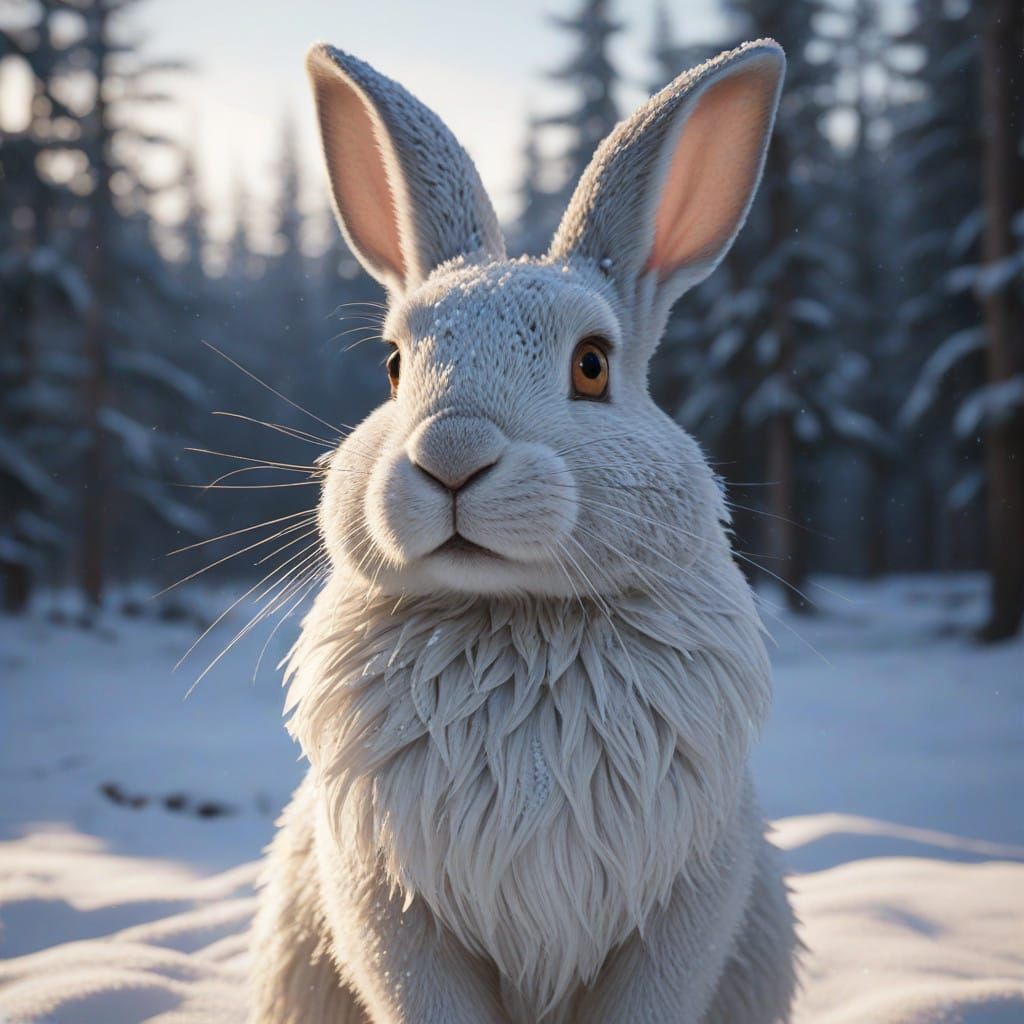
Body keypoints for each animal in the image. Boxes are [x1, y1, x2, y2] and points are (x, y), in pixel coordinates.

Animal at [249, 37, 798, 1024]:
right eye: (394, 367)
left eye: (593, 366)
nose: (451, 455)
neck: (517, 616)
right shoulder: (393, 910)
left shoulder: (682, 906)